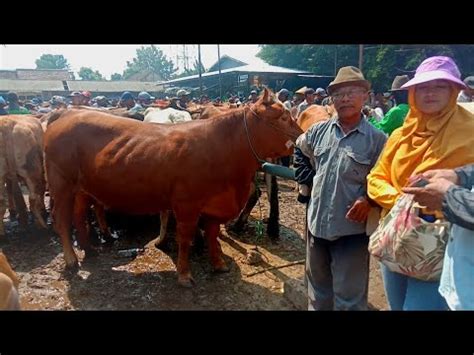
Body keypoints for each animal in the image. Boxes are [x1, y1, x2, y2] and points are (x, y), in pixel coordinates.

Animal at [45, 87, 304, 288]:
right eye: (283, 117)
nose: (303, 136)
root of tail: (67, 112)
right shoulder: (187, 204)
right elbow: (185, 238)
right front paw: (184, 274)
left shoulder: (215, 206)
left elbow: (212, 233)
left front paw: (218, 264)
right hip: (60, 184)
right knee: (62, 219)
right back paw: (71, 260)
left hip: (81, 188)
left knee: (79, 215)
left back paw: (89, 250)